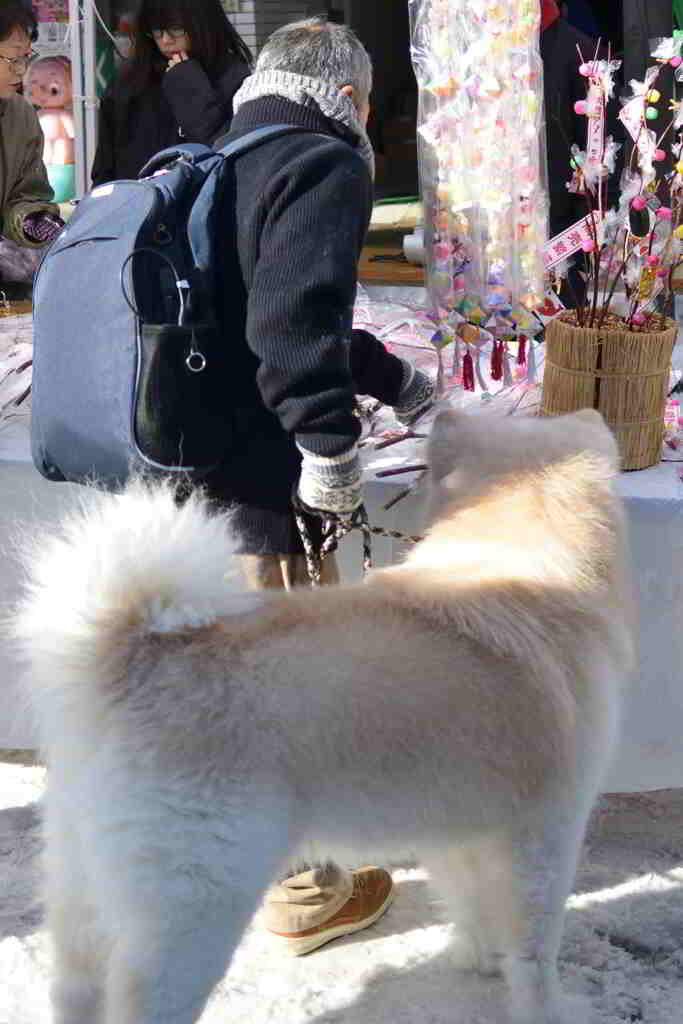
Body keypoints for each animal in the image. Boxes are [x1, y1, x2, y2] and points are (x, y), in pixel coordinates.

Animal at [10, 409, 634, 1024]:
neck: (525, 542)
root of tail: (130, 652)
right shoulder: (546, 832)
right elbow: (535, 951)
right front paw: (547, 1007)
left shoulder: (460, 830)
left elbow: (472, 905)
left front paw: (478, 960)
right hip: (195, 908)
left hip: (82, 888)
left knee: (74, 988)